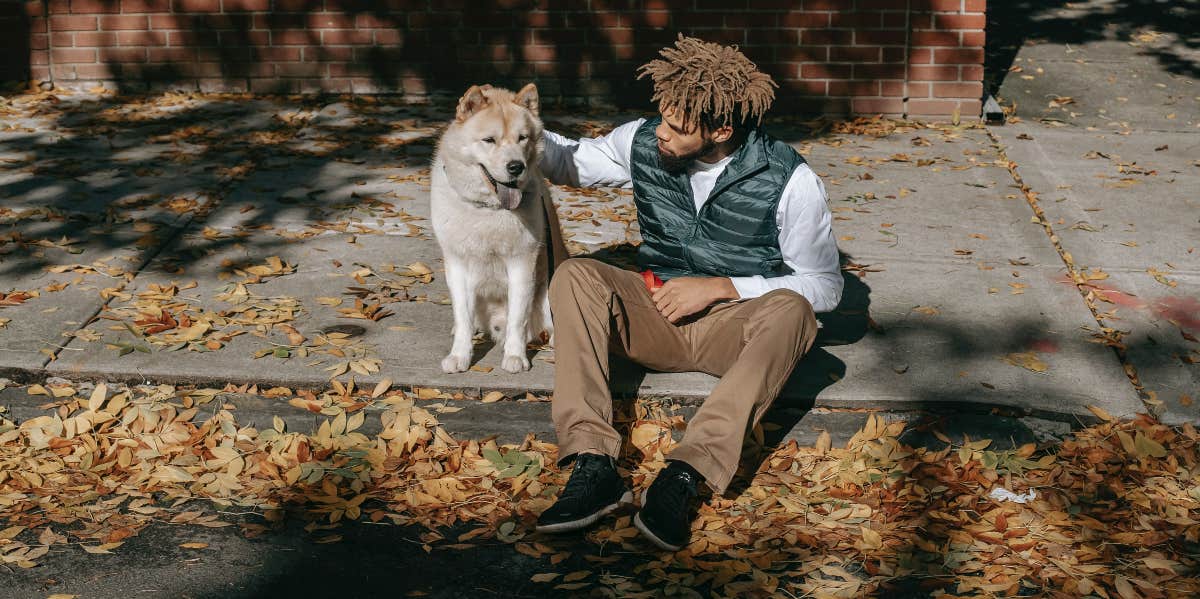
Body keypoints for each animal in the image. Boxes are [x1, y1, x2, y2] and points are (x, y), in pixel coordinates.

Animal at [429, 83, 564, 374]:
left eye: (523, 138)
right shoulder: (457, 265)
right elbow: (463, 317)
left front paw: (515, 356)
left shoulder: (522, 263)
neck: (489, 210)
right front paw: (460, 355)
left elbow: (517, 319)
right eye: (489, 140)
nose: (516, 167)